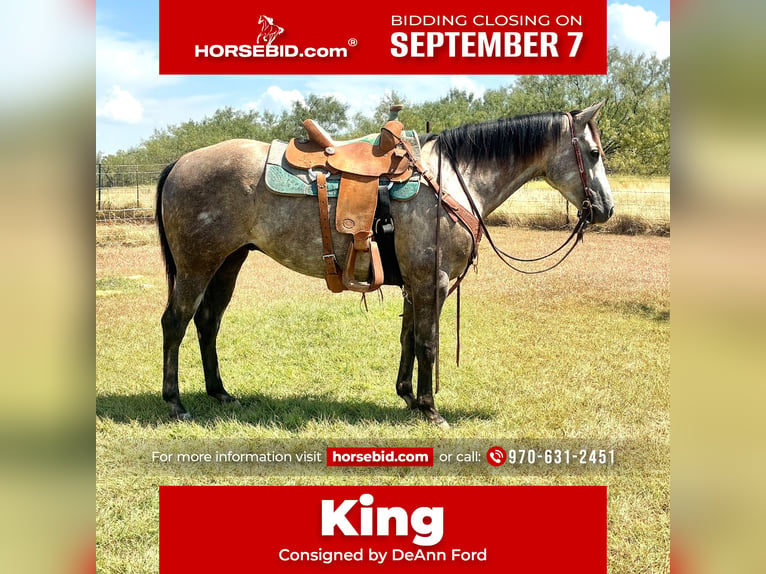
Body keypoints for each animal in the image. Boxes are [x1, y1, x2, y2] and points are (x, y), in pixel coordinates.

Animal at [155, 101, 614, 428]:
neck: (451, 181)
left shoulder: (415, 282)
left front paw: (407, 396)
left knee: (208, 322)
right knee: (176, 322)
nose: (607, 209)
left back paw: (220, 392)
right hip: (197, 265)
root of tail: (179, 162)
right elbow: (428, 341)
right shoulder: (433, 280)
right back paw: (175, 402)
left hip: (227, 263)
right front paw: (430, 409)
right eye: (593, 153)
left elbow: (408, 338)